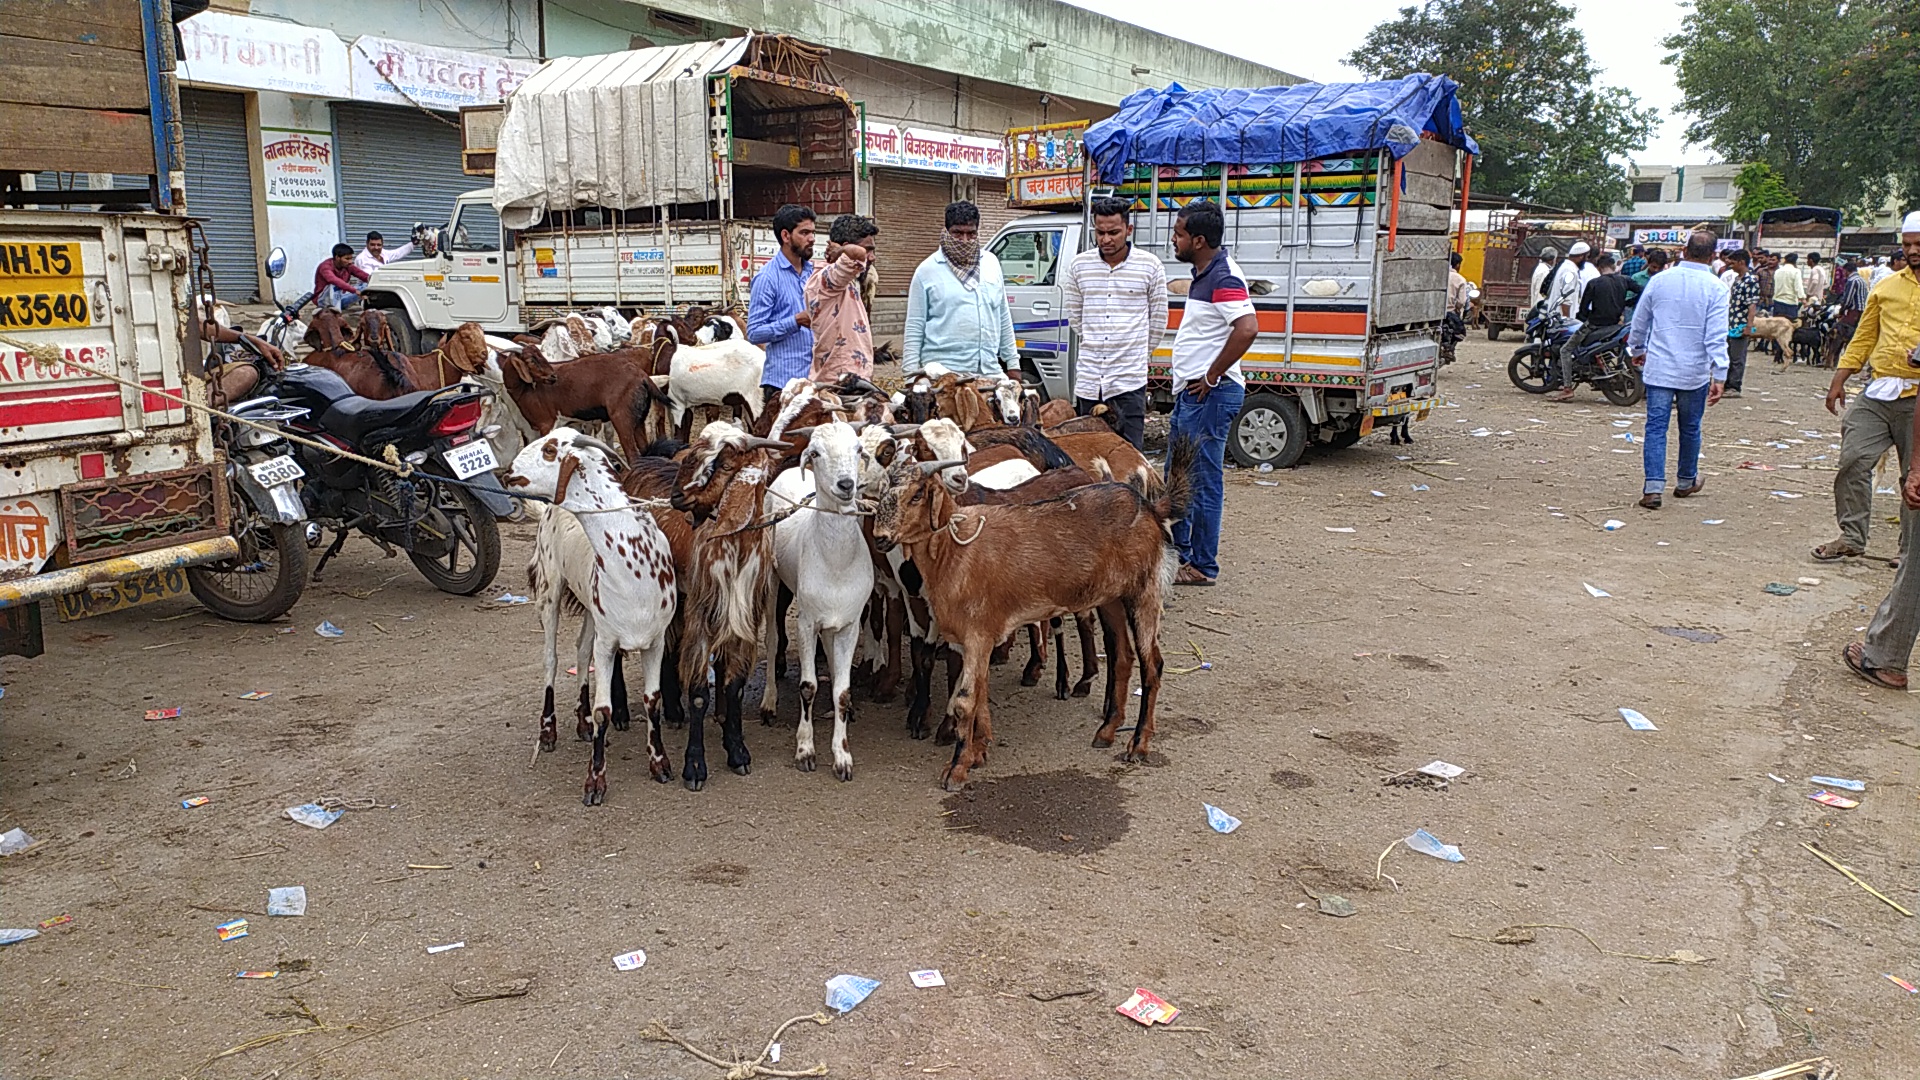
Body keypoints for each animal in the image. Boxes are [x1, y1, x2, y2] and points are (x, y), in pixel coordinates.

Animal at [506, 426, 679, 799]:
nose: (508, 471)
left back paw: (582, 722)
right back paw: (548, 731)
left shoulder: (654, 641)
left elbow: (653, 701)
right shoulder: (608, 643)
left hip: (590, 608)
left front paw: (660, 762)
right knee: (551, 659)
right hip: (550, 590)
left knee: (581, 650)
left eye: (551, 450)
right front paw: (595, 780)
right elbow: (605, 711)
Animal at [668, 418, 787, 780]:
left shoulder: (743, 615)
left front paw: (736, 750)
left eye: (723, 464)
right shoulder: (700, 611)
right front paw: (694, 765)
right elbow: (697, 694)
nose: (676, 496)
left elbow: (734, 685)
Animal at [756, 417, 879, 776]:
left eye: (858, 448)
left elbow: (842, 691)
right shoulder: (807, 622)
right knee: (771, 639)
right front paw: (805, 750)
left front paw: (842, 756)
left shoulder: (850, 622)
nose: (846, 484)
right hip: (771, 580)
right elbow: (807, 686)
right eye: (816, 452)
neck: (836, 563)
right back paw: (768, 704)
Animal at [875, 432, 1198, 787]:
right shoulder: (977, 638)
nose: (880, 537)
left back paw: (1138, 744)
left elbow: (964, 701)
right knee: (1122, 657)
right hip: (1110, 597)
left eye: (918, 494)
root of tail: (1150, 506)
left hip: (1144, 592)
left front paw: (957, 767)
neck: (954, 549)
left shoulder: (977, 634)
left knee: (1152, 664)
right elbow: (980, 695)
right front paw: (978, 752)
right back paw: (1107, 731)